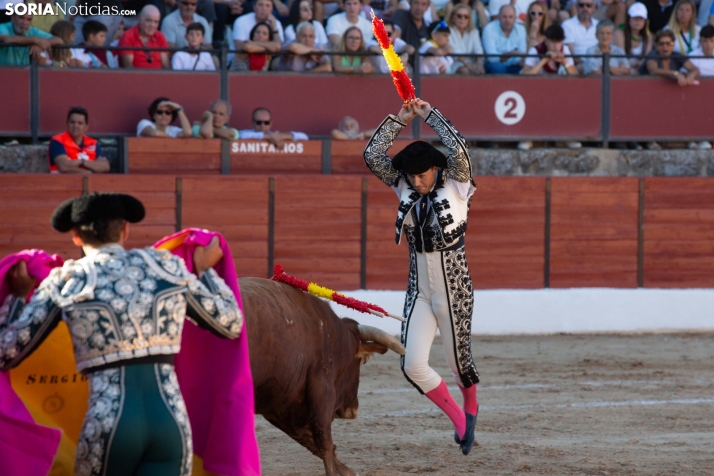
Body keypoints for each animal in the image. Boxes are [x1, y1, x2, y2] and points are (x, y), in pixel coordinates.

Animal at [241, 278, 404, 476]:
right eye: (361, 362)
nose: (353, 410)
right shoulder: (322, 388)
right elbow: (322, 439)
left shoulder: (278, 404)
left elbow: (308, 440)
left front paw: (346, 470)